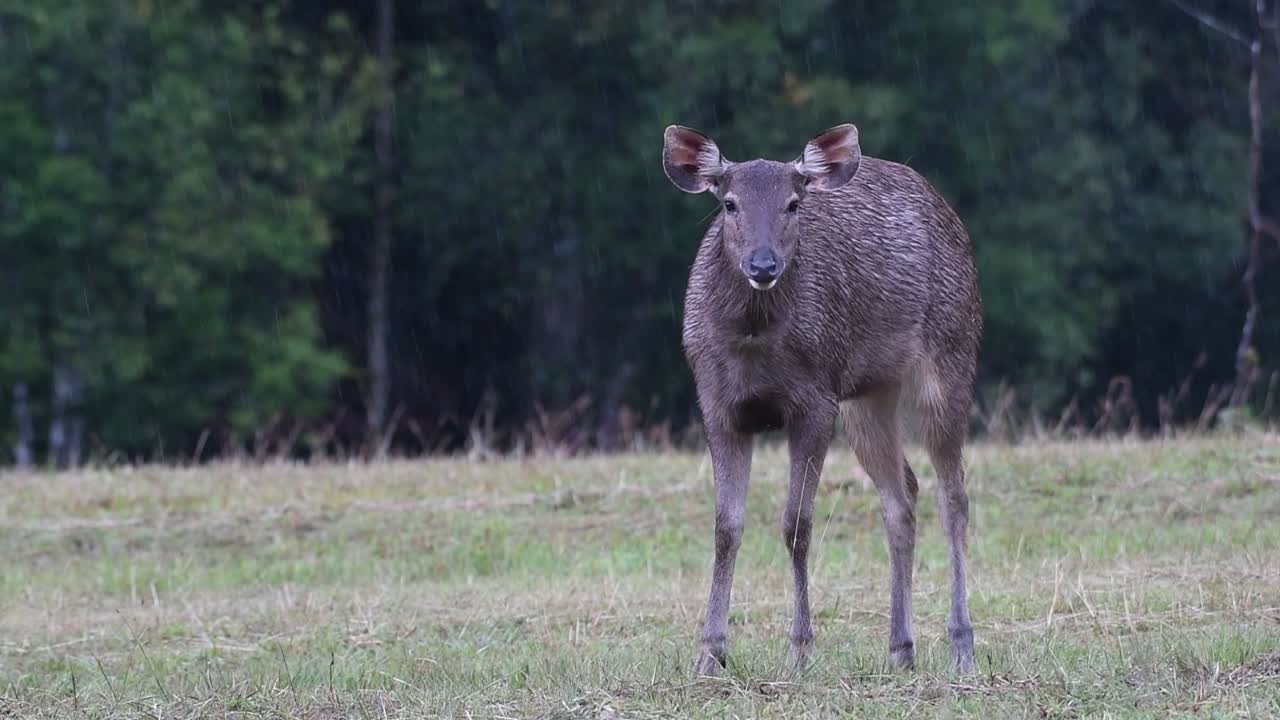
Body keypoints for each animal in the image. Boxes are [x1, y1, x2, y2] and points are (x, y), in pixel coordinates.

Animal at [662, 123, 982, 676]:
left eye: (794, 203)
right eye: (728, 203)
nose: (763, 264)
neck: (754, 342)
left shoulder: (814, 401)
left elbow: (797, 525)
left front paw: (801, 650)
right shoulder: (718, 404)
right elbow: (726, 527)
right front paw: (710, 654)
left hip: (952, 352)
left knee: (954, 495)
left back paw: (961, 646)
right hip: (868, 395)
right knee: (903, 494)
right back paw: (901, 648)